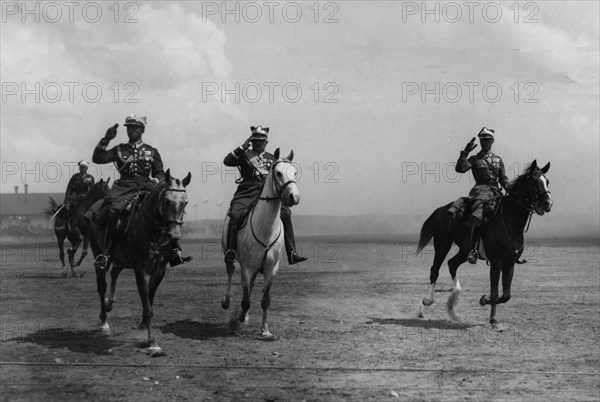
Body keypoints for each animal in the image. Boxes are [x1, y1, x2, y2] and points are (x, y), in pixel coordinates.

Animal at [89, 169, 190, 354]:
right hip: (99, 255)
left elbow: (148, 297)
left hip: (120, 258)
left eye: (185, 203)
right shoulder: (140, 269)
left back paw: (110, 302)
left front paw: (142, 327)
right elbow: (147, 305)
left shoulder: (159, 269)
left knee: (115, 272)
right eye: (167, 201)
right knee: (102, 285)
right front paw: (153, 343)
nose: (174, 235)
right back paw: (104, 321)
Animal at [220, 149, 300, 338]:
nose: (294, 197)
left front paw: (265, 330)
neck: (266, 229)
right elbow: (246, 301)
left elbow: (265, 300)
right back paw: (227, 302)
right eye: (278, 173)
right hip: (229, 255)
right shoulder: (247, 268)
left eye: (294, 172)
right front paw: (239, 319)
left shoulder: (271, 269)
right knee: (230, 271)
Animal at [418, 159, 552, 332]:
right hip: (442, 244)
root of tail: (441, 210)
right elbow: (495, 293)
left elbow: (506, 295)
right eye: (534, 181)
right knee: (435, 270)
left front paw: (483, 300)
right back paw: (426, 303)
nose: (547, 203)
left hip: (465, 250)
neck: (508, 220)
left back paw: (455, 298)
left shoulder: (509, 263)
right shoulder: (496, 263)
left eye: (547, 181)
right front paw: (494, 320)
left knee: (452, 264)